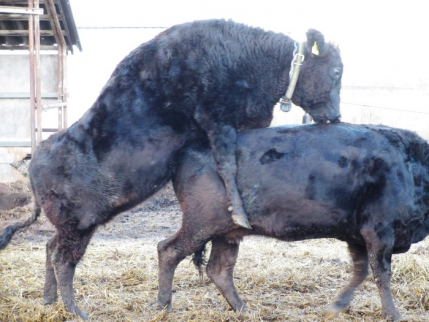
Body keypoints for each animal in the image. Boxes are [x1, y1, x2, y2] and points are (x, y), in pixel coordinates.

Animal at [0, 18, 342, 318]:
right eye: (337, 70)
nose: (337, 116)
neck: (243, 56)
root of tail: (37, 158)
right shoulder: (217, 120)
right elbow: (227, 163)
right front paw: (239, 213)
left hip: (74, 227)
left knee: (50, 247)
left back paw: (49, 300)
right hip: (78, 226)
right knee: (62, 259)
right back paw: (76, 311)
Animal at [157, 122, 428, 320]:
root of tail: (185, 153)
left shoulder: (357, 236)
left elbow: (361, 271)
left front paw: (336, 306)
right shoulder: (379, 231)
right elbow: (381, 273)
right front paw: (393, 314)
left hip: (227, 233)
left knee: (219, 270)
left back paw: (245, 311)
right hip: (200, 225)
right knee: (168, 250)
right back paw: (163, 306)